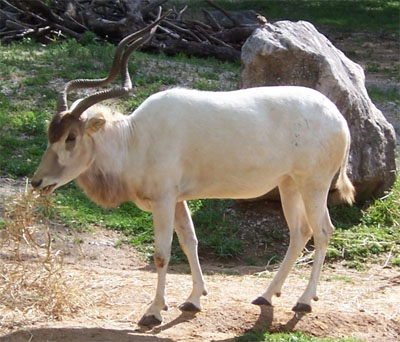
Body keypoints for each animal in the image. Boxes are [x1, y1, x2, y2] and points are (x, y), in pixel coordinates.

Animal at [31, 12, 354, 326]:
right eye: (50, 133)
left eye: (71, 137)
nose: (37, 182)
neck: (135, 139)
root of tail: (339, 118)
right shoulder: (178, 199)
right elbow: (190, 242)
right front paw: (194, 299)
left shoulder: (163, 200)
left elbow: (162, 253)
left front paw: (153, 311)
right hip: (289, 184)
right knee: (300, 232)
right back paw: (266, 294)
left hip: (314, 184)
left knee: (322, 230)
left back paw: (304, 300)